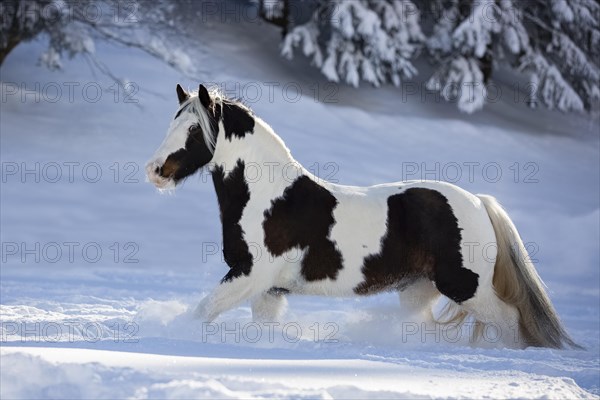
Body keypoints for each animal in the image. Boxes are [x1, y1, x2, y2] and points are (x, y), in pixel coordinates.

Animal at [146, 83, 580, 348]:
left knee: (510, 322)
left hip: (467, 286)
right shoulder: (270, 289)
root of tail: (478, 201)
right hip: (417, 290)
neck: (270, 199)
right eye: (172, 122)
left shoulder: (252, 275)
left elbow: (202, 311)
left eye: (194, 130)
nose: (155, 171)